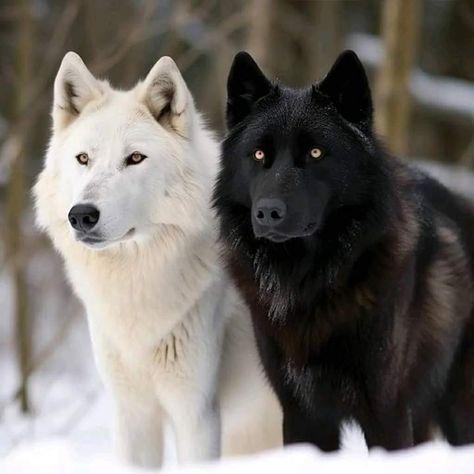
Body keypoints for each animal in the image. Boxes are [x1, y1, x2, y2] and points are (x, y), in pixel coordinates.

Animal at [36, 51, 282, 466]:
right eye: (83, 158)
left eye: (135, 158)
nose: (81, 215)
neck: (136, 283)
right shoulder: (132, 413)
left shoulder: (196, 413)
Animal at [215, 50, 474, 450]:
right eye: (258, 154)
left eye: (316, 152)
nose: (268, 212)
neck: (310, 280)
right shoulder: (301, 414)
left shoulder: (387, 413)